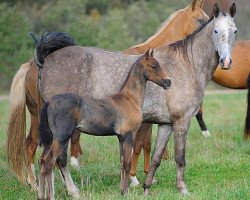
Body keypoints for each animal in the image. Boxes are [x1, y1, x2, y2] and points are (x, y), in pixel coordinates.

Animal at [36, 47, 170, 198]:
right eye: (153, 66)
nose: (168, 82)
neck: (129, 99)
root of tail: (50, 102)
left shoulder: (120, 137)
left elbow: (122, 162)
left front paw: (121, 190)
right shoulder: (128, 135)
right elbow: (127, 163)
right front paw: (126, 191)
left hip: (51, 139)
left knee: (41, 161)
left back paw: (40, 195)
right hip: (61, 137)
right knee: (49, 162)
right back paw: (52, 196)